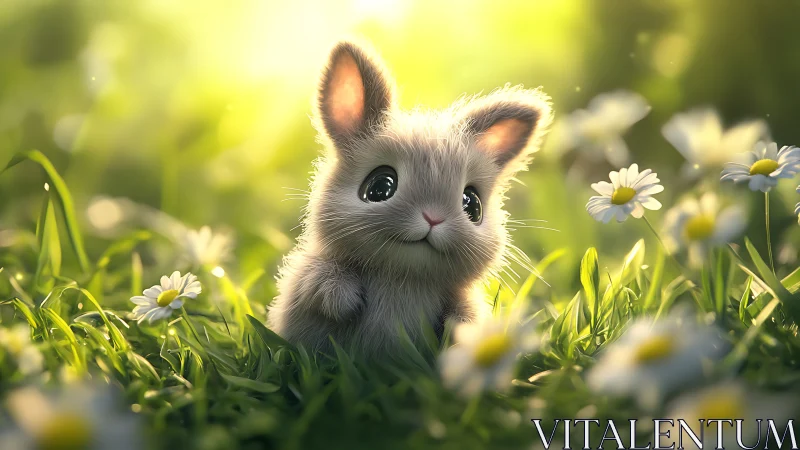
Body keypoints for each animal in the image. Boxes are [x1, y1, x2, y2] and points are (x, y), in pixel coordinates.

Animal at [267, 41, 552, 357]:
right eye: (379, 187)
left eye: (473, 206)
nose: (433, 218)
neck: (402, 276)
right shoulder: (307, 277)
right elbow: (316, 281)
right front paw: (344, 302)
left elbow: (466, 312)